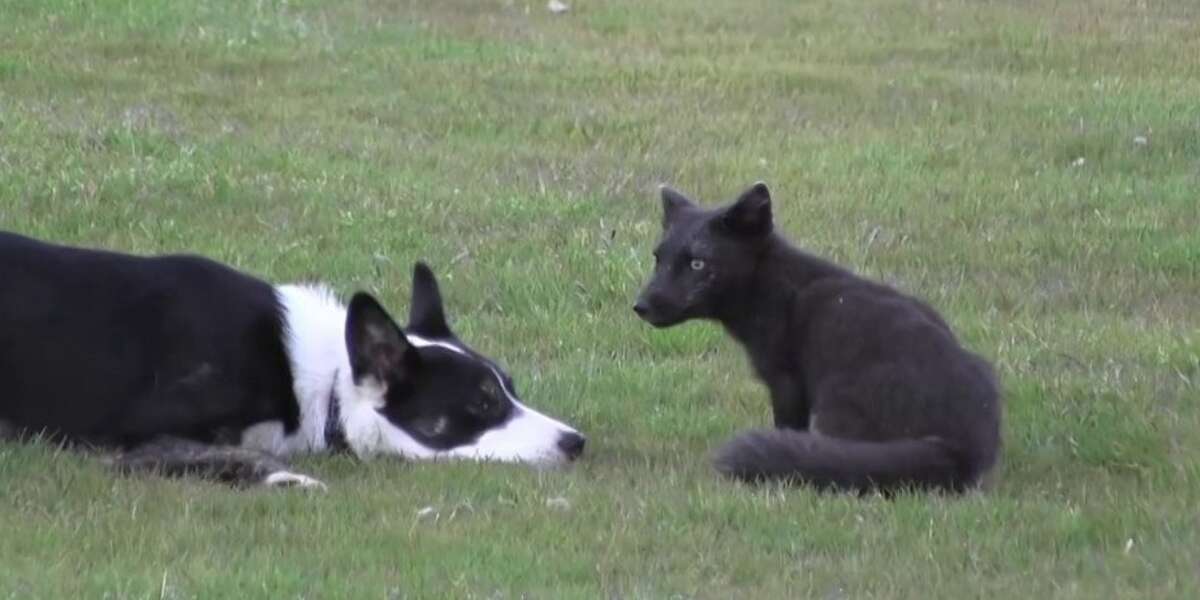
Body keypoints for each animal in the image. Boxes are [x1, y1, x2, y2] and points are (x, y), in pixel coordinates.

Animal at [633, 182, 1001, 493]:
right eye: (658, 259)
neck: (771, 285)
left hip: (835, 403)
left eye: (697, 263)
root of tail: (960, 449)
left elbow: (787, 428)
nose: (640, 306)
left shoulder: (786, 383)